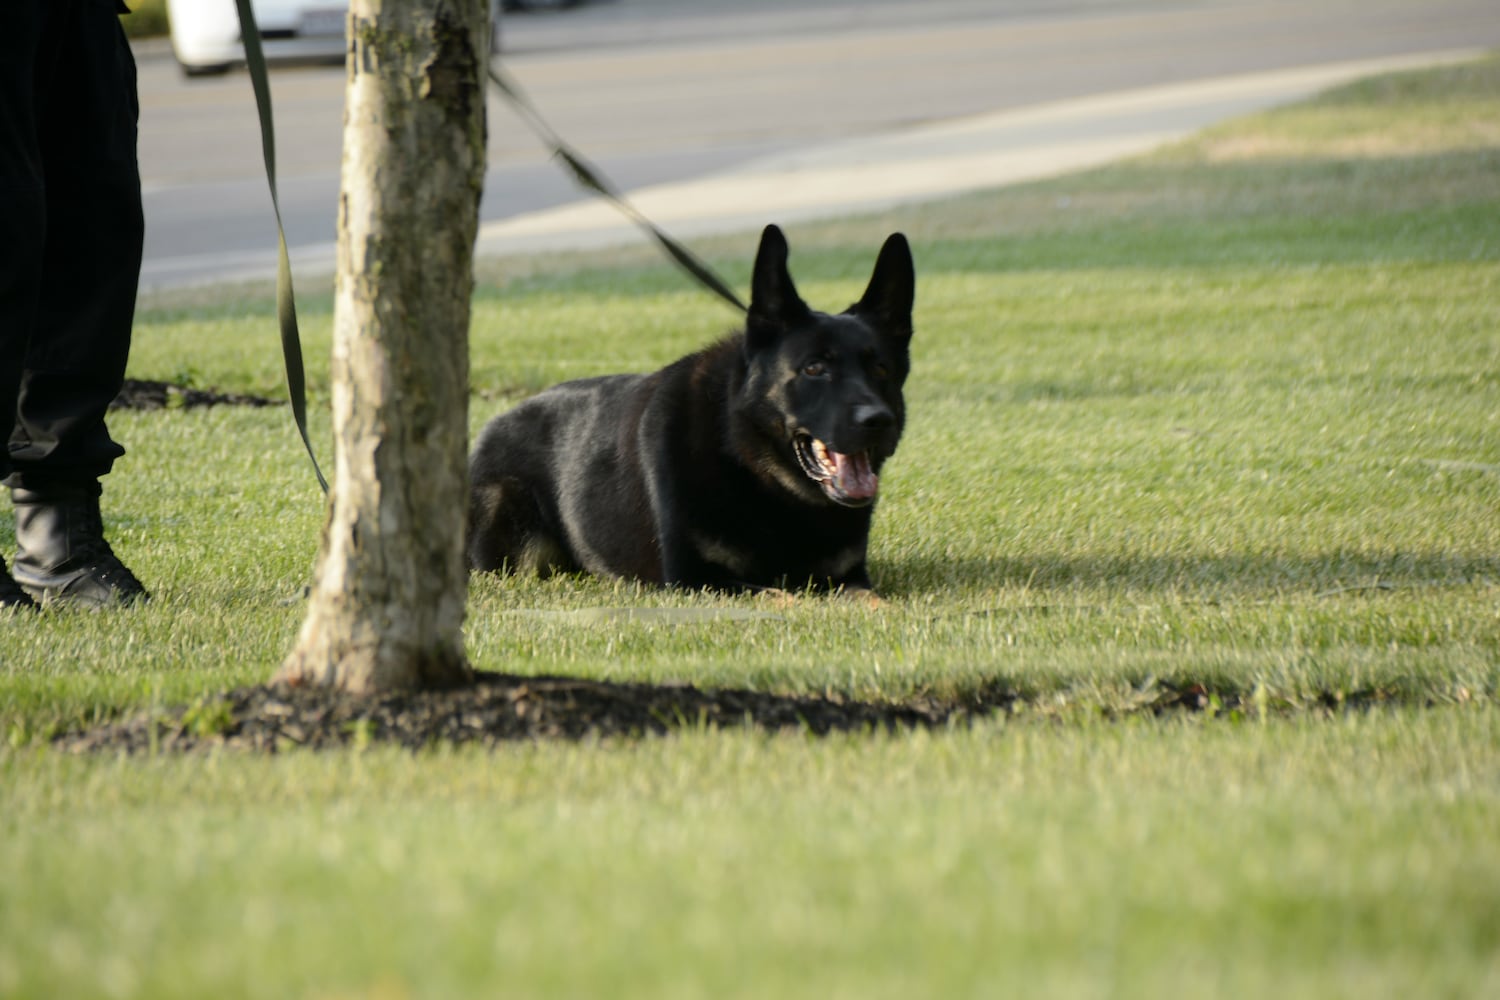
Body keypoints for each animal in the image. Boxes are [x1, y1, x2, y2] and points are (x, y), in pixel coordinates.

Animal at [468, 224, 912, 593]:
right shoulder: (699, 580)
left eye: (881, 369)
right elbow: (787, 597)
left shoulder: (849, 580)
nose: (878, 420)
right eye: (814, 368)